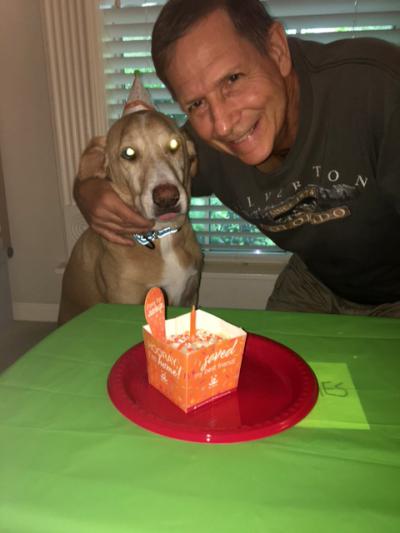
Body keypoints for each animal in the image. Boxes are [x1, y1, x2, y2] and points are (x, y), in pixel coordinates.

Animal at [57, 109, 203, 322]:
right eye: (129, 153)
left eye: (174, 145)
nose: (167, 198)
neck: (162, 237)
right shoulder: (127, 299)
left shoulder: (189, 296)